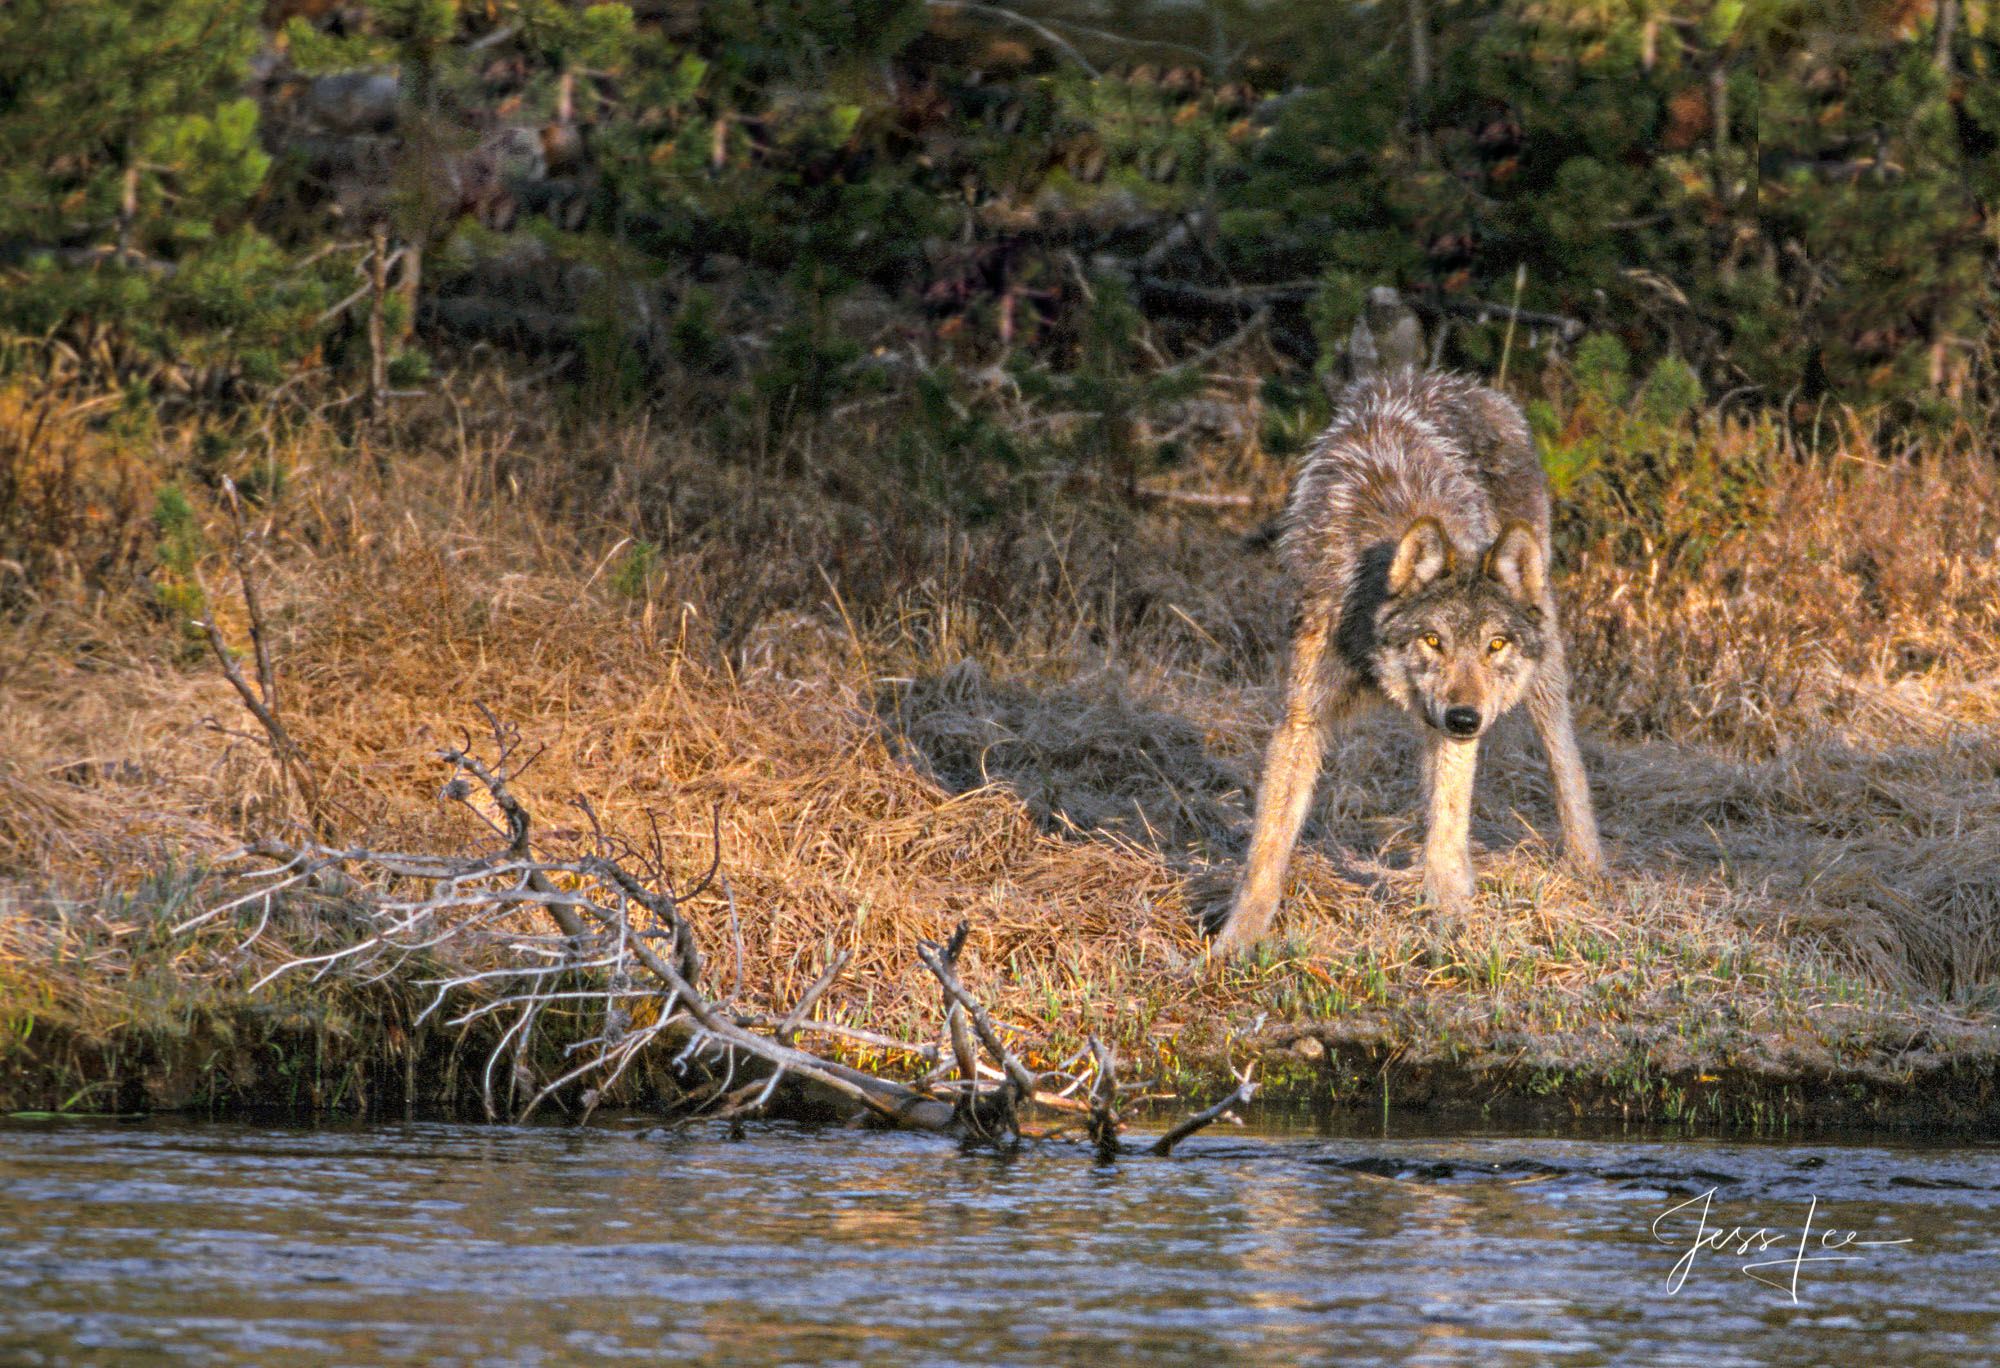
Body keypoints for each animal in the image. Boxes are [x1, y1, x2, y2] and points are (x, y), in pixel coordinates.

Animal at [1200, 368, 1608, 956]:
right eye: (1433, 641)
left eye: (1495, 644)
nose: (1466, 718)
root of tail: (1464, 384)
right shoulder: (1303, 715)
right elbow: (1268, 848)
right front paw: (1236, 943)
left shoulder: (1457, 726)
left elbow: (1447, 826)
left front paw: (1453, 924)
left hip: (1539, 669)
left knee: (1563, 753)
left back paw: (1587, 865)